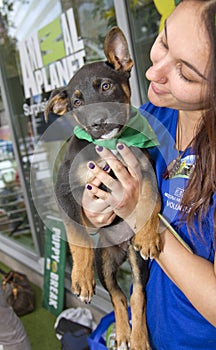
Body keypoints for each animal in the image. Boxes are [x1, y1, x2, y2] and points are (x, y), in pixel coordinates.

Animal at [45, 26, 160, 348]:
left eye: (106, 86)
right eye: (77, 103)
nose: (98, 123)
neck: (107, 147)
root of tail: (119, 248)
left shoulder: (145, 171)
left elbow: (150, 199)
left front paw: (149, 235)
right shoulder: (64, 190)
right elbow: (77, 233)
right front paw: (81, 279)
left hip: (135, 260)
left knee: (136, 295)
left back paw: (138, 338)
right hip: (104, 262)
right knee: (117, 295)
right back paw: (121, 333)